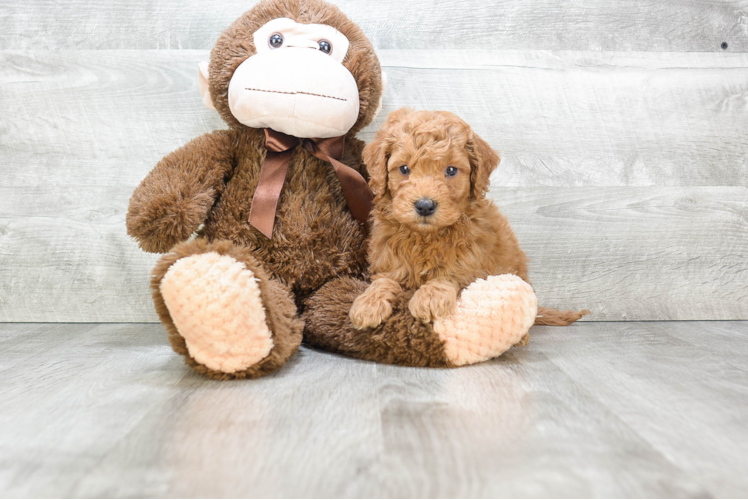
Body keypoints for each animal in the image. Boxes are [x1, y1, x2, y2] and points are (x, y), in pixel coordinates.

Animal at [348, 107, 588, 330]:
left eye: (451, 170)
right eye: (404, 169)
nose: (425, 206)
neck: (426, 237)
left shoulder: (472, 260)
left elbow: (451, 273)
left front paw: (430, 297)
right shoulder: (389, 258)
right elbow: (384, 280)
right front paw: (368, 303)